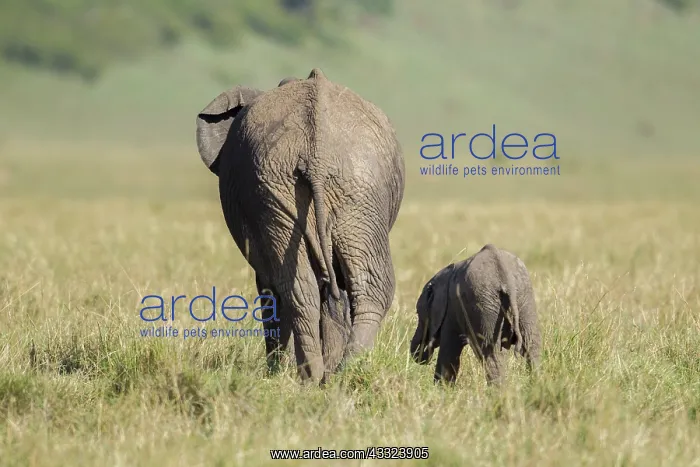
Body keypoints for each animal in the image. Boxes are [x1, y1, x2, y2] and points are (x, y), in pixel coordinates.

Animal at [195, 68, 405, 383]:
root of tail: (316, 154)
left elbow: (274, 289)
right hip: (296, 191)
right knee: (320, 287)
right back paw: (329, 375)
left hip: (346, 188)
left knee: (312, 287)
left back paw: (325, 375)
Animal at [410, 244, 541, 386]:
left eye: (419, 315)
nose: (423, 355)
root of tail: (505, 277)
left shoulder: (451, 312)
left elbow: (449, 352)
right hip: (523, 298)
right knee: (532, 346)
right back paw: (535, 385)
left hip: (484, 304)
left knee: (491, 354)